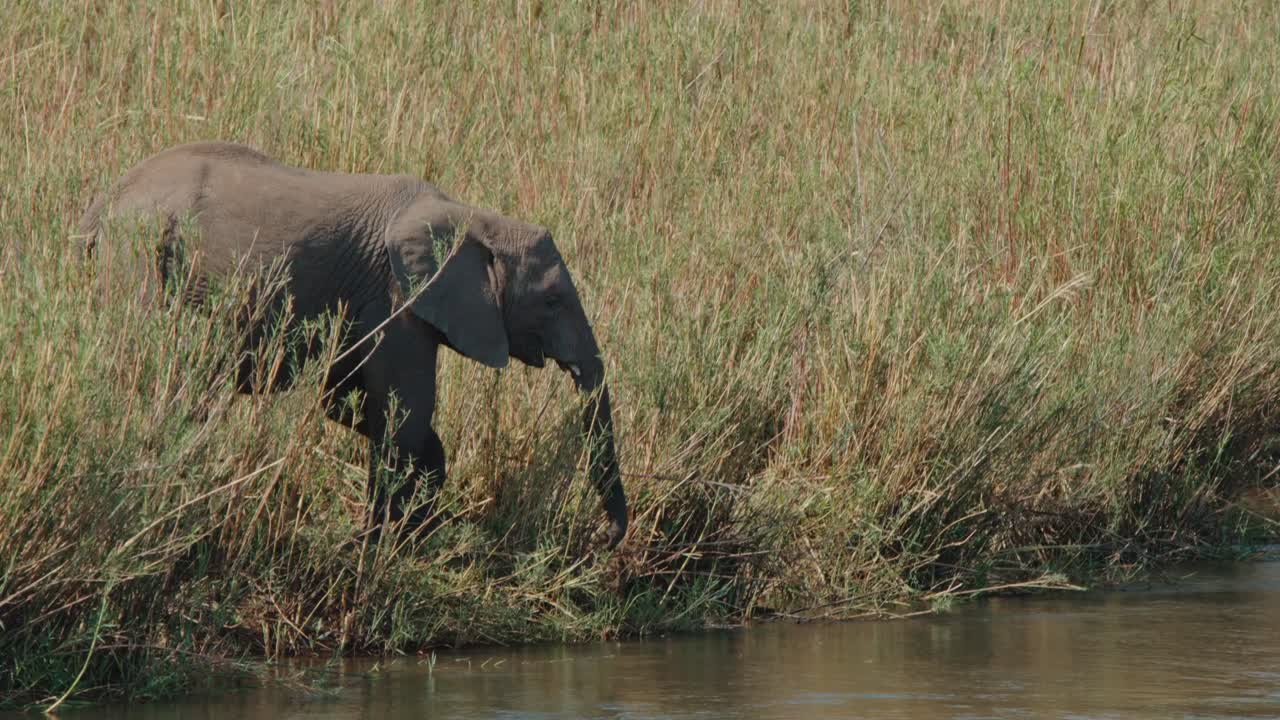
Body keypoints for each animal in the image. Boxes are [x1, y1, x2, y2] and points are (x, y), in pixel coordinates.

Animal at [76, 141, 627, 548]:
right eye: (552, 300)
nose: (602, 539)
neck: (471, 215)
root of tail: (103, 201)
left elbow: (349, 401)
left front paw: (406, 530)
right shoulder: (396, 296)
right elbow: (404, 413)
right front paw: (375, 543)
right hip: (141, 261)